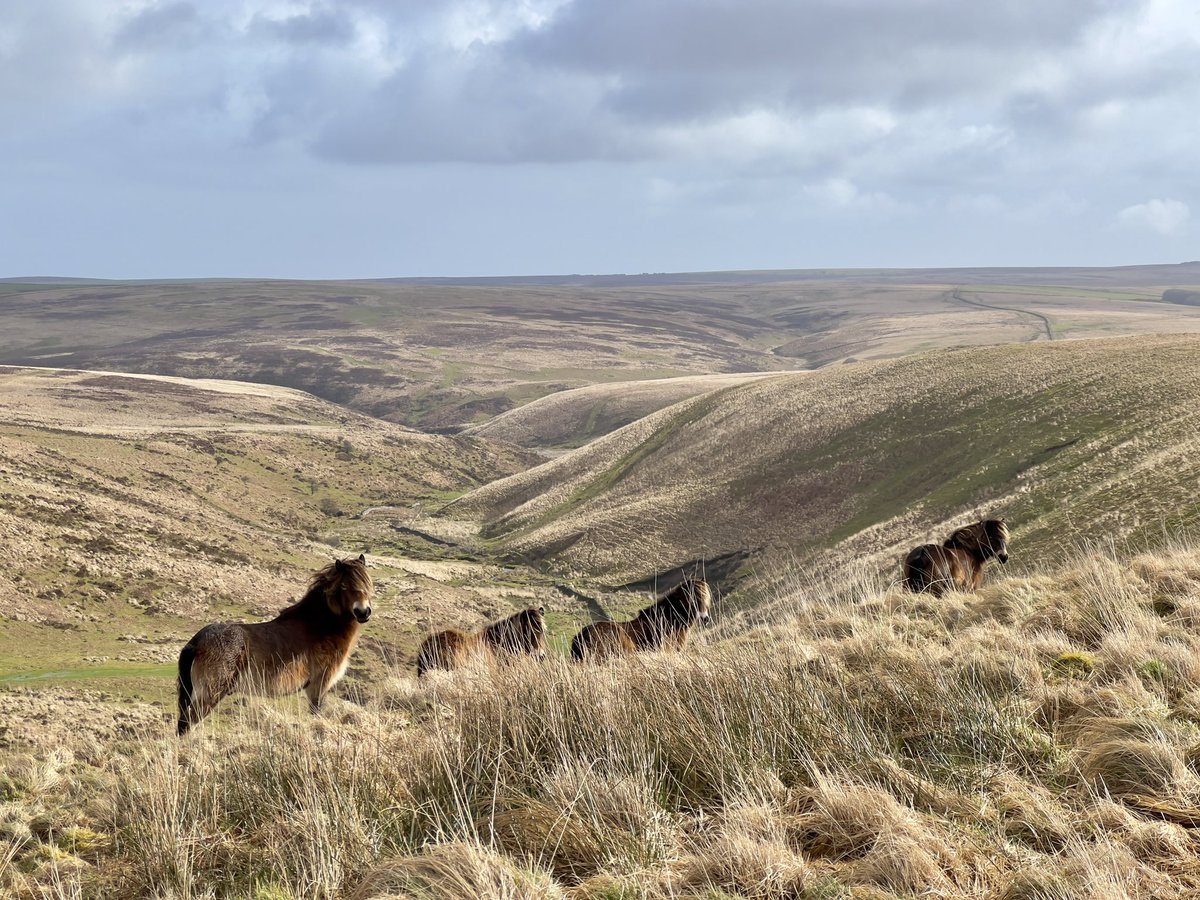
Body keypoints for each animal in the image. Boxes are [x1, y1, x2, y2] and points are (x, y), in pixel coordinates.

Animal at [175, 554, 372, 734]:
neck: (318, 626)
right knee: (187, 724)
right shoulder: (318, 686)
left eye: (367, 585)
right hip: (209, 695)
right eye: (344, 586)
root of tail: (197, 642)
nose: (363, 612)